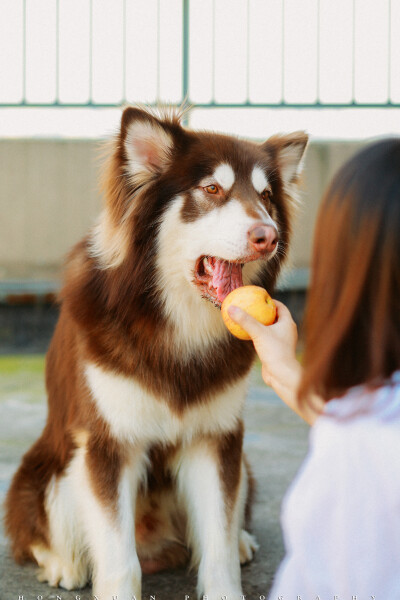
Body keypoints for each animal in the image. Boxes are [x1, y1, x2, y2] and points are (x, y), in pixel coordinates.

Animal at [4, 108, 308, 600]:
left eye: (265, 196)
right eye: (212, 189)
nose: (269, 235)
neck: (175, 330)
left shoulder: (216, 439)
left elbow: (218, 546)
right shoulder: (107, 444)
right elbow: (119, 562)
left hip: (240, 462)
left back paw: (243, 540)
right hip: (53, 473)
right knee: (36, 530)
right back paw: (63, 564)